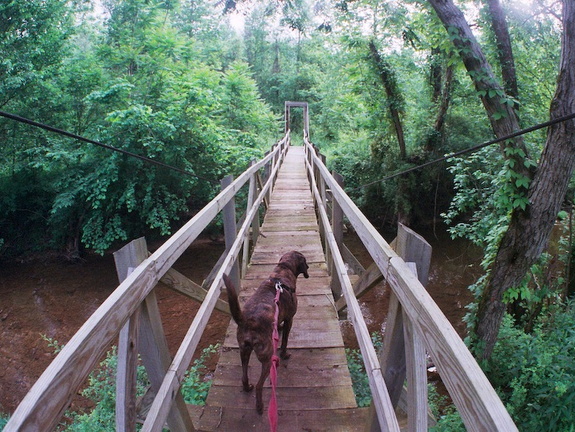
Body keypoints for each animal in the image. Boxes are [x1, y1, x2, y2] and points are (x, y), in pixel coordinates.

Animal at [223, 251, 310, 414]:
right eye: (305, 262)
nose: (308, 267)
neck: (282, 271)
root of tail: (247, 321)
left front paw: (278, 328)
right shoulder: (290, 319)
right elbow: (285, 341)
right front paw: (284, 354)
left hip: (244, 352)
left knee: (244, 376)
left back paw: (247, 388)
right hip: (267, 358)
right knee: (259, 385)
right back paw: (260, 406)